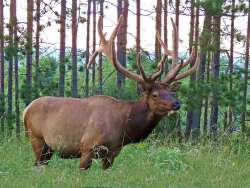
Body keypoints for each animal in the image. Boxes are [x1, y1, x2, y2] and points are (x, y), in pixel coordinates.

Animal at [23, 15, 199, 170]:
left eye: (171, 92)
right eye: (155, 95)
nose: (176, 104)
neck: (125, 127)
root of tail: (26, 110)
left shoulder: (112, 153)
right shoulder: (87, 147)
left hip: (47, 149)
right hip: (37, 139)